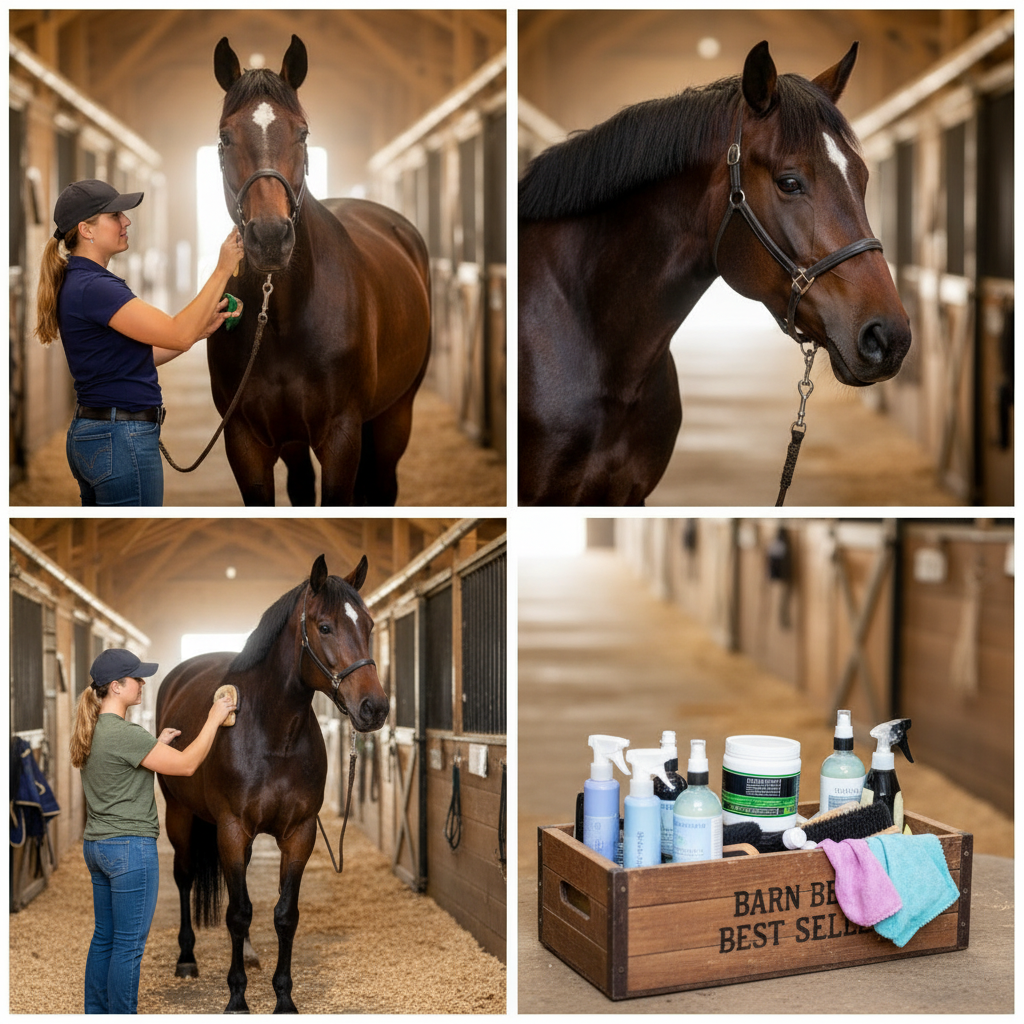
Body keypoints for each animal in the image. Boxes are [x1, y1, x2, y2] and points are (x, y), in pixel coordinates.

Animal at [156, 553, 388, 1013]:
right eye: (324, 626)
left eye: (369, 625)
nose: (374, 707)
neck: (273, 735)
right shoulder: (231, 829)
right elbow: (238, 912)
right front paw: (236, 998)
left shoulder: (298, 833)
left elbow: (284, 914)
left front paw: (284, 998)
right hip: (180, 815)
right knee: (185, 877)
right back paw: (187, 958)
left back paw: (246, 952)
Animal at [208, 35, 431, 505]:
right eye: (224, 137)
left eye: (302, 133)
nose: (270, 237)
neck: (283, 318)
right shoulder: (245, 440)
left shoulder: (341, 436)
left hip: (396, 412)